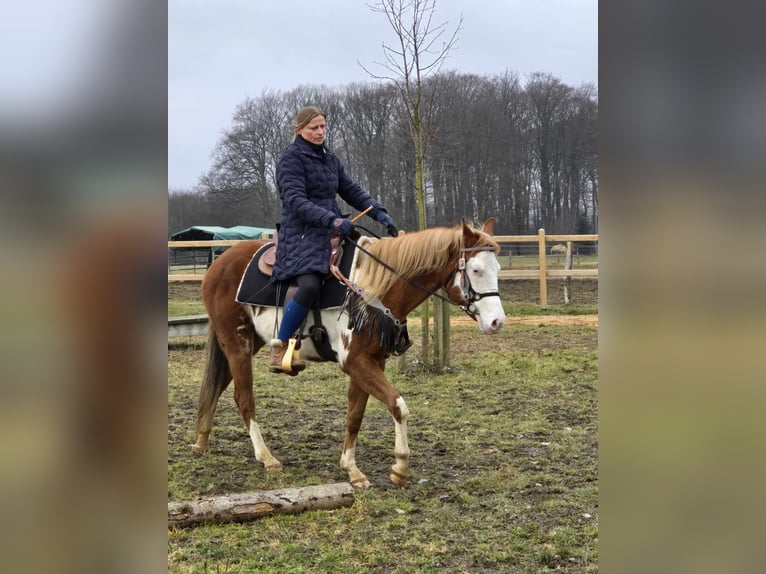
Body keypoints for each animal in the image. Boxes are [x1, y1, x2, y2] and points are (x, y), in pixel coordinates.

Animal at [192, 218, 508, 488]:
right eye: (476, 270)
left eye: (498, 269)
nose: (496, 322)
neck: (370, 290)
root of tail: (218, 263)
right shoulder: (356, 362)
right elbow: (398, 405)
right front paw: (400, 466)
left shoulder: (370, 362)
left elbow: (355, 415)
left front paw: (351, 469)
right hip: (238, 344)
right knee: (243, 397)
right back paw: (266, 457)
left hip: (246, 342)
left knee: (217, 386)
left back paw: (201, 441)